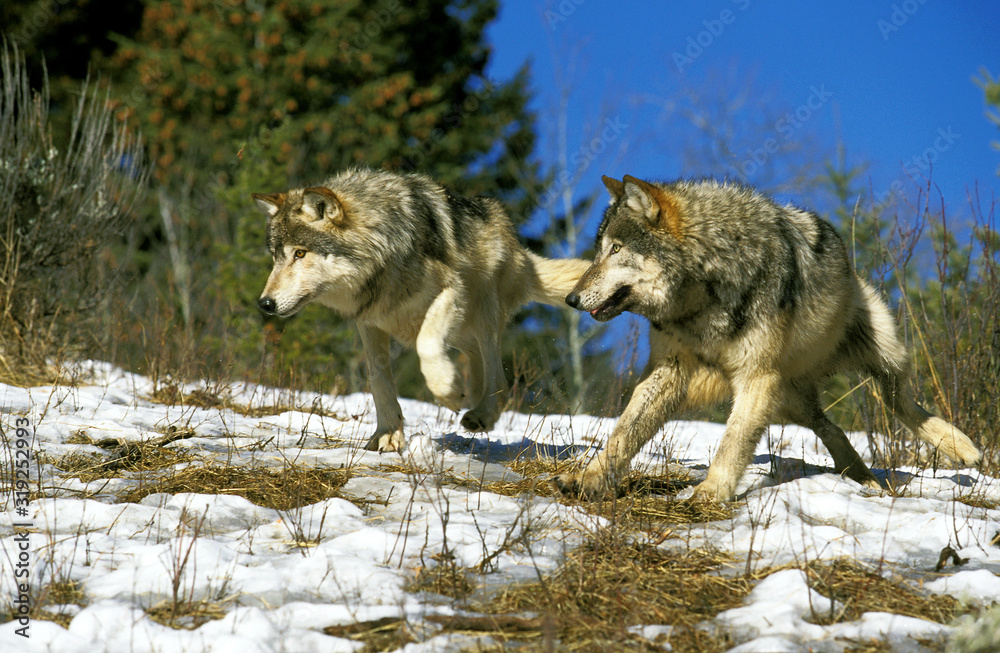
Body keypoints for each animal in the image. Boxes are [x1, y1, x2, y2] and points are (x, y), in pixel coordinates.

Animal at [253, 168, 591, 453]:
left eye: (300, 254)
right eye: (275, 256)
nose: (265, 304)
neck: (382, 249)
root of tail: (520, 251)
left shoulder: (451, 289)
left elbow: (426, 346)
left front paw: (447, 390)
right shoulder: (370, 321)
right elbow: (379, 379)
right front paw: (388, 434)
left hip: (482, 309)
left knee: (498, 375)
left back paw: (480, 411)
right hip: (462, 328)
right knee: (479, 362)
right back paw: (474, 400)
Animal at [555, 175, 980, 502]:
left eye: (615, 249)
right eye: (598, 251)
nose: (571, 299)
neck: (702, 299)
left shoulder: (756, 377)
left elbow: (732, 442)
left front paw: (711, 492)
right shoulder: (670, 370)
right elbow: (623, 433)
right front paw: (588, 478)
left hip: (882, 356)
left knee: (900, 402)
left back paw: (959, 447)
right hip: (787, 398)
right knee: (829, 426)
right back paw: (861, 476)